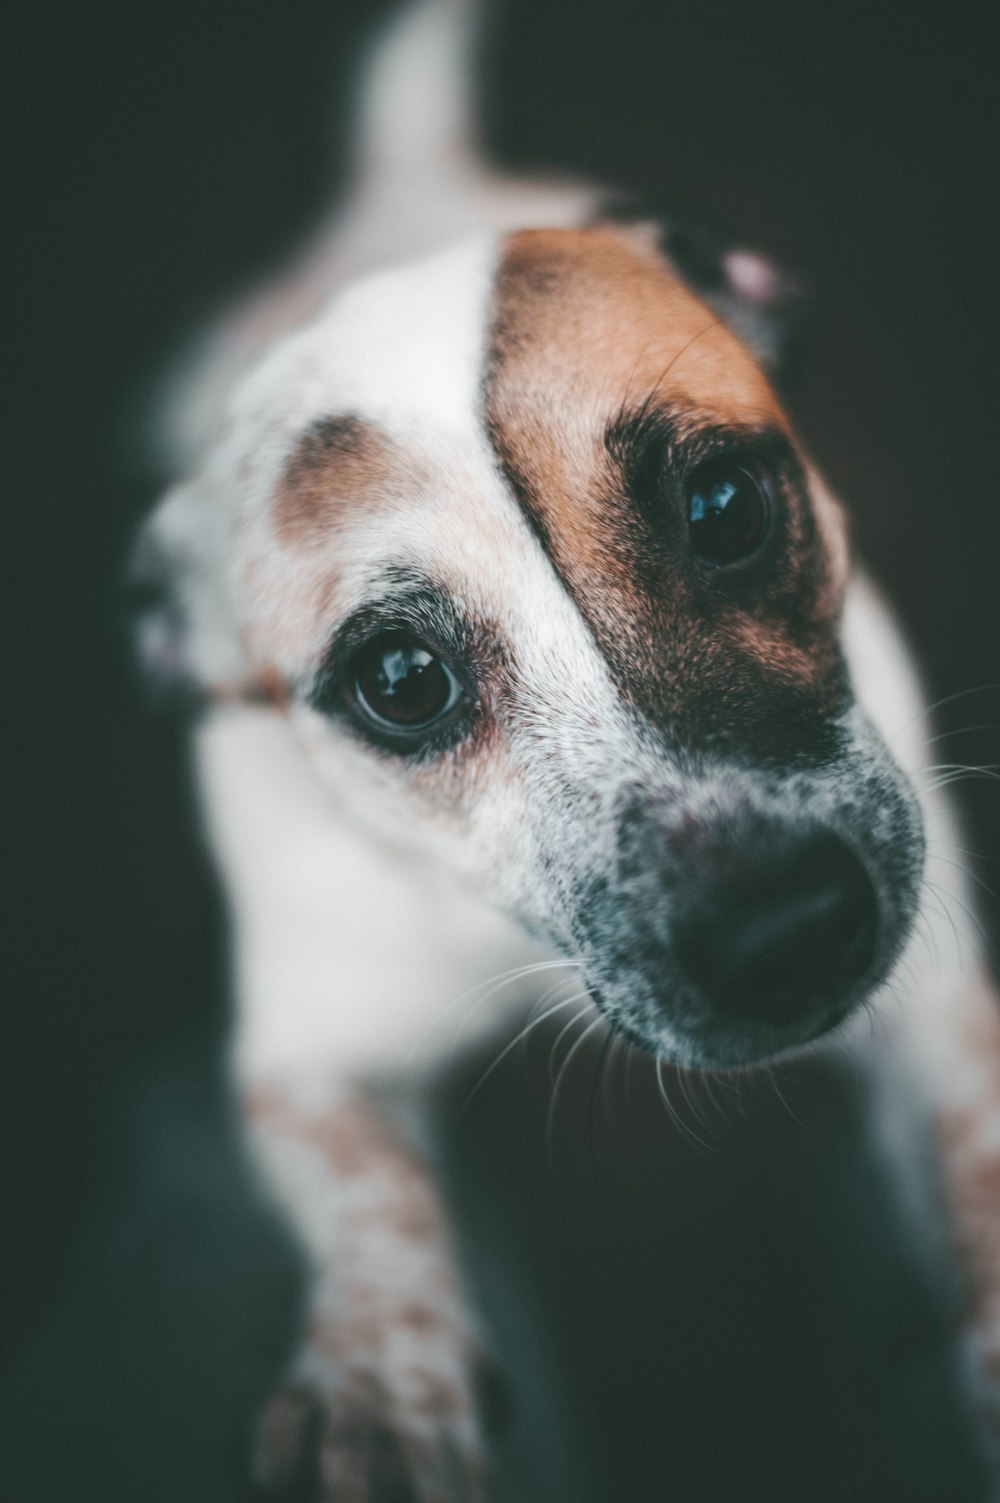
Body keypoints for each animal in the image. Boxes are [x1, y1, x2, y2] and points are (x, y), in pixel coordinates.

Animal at [130, 2, 998, 1490]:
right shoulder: (306, 1059)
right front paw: (384, 1384)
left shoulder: (938, 1001)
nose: (787, 933)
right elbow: (368, 1196)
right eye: (400, 680)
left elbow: (978, 1160)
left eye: (724, 503)